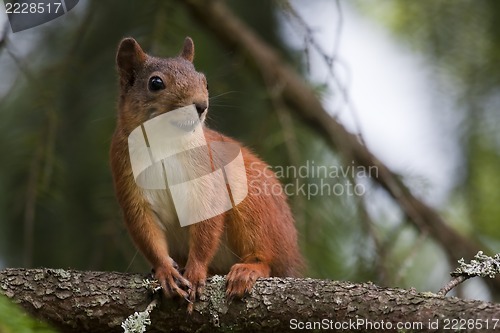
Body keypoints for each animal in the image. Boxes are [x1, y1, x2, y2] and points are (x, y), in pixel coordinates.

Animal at [111, 36, 302, 308]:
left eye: (206, 82)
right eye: (155, 83)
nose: (201, 106)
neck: (165, 141)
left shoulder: (206, 177)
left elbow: (206, 227)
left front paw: (196, 271)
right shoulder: (128, 180)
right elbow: (146, 230)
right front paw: (165, 271)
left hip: (256, 208)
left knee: (267, 259)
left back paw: (248, 269)